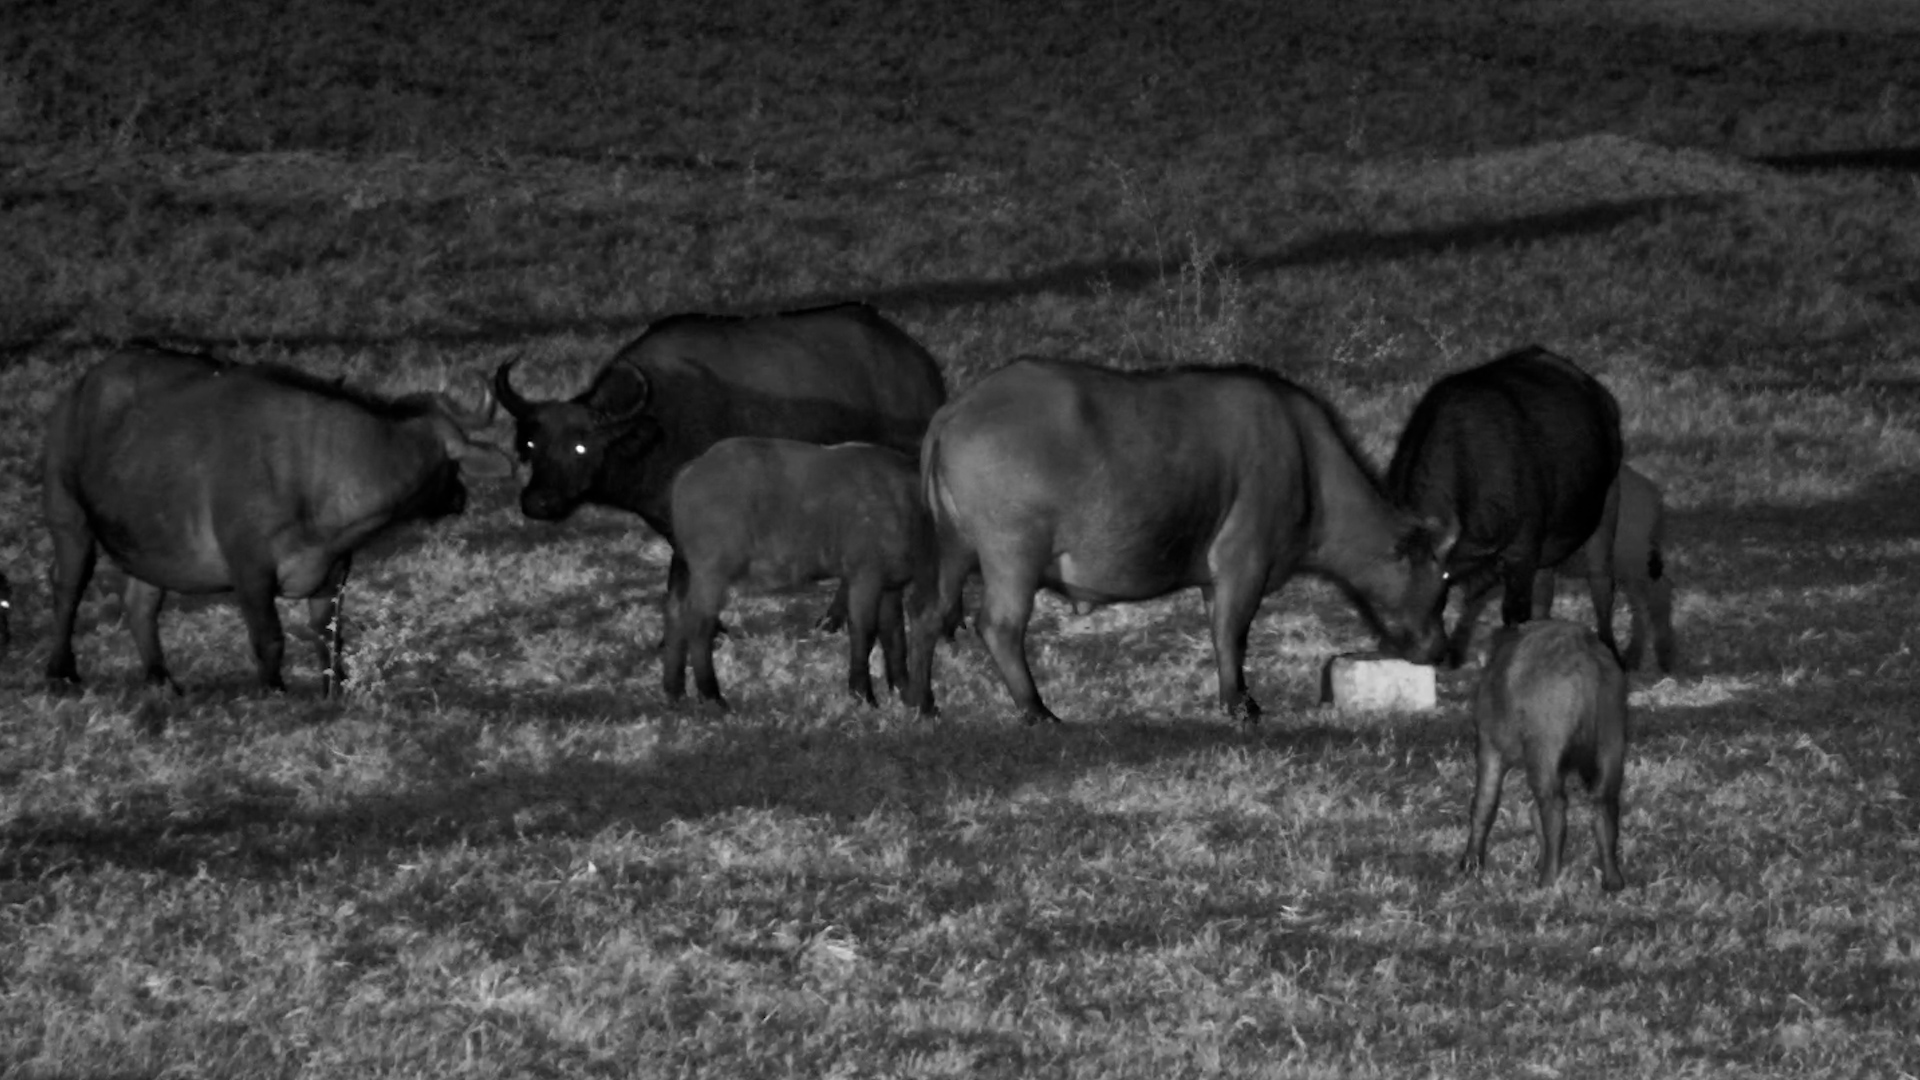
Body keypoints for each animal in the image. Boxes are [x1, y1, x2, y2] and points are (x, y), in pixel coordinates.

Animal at [43, 346, 512, 695]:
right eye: (452, 467)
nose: (459, 498)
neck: (316, 472)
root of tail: (80, 389)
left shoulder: (333, 569)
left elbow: (328, 634)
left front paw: (335, 688)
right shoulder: (250, 572)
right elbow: (270, 638)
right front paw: (274, 690)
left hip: (149, 542)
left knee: (140, 603)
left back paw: (161, 679)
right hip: (68, 516)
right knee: (67, 589)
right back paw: (60, 669)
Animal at [662, 437, 937, 711]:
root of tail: (691, 469)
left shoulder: (891, 586)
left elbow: (895, 638)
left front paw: (904, 691)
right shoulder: (865, 578)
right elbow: (864, 633)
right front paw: (863, 695)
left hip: (686, 570)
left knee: (676, 614)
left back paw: (675, 691)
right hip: (712, 574)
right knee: (699, 624)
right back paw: (712, 697)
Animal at [908, 358, 1456, 725]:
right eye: (1442, 579)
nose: (1441, 649)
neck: (1308, 467)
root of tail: (955, 411)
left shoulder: (1217, 580)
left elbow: (1221, 634)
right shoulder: (1242, 566)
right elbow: (1233, 634)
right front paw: (1242, 705)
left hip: (952, 550)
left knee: (929, 614)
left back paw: (924, 703)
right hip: (1012, 556)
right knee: (999, 626)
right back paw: (1037, 710)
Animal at [1386, 346, 1624, 665]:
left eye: (1440, 583)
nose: (1422, 649)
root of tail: (1599, 395)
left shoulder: (1520, 552)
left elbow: (1513, 614)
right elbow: (1474, 601)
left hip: (1607, 502)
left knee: (1600, 582)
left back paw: (1610, 649)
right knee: (1544, 589)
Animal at [1460, 619, 1628, 892]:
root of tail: (1584, 656)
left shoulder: (1489, 747)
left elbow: (1484, 804)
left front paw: (1471, 862)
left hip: (1544, 749)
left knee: (1554, 808)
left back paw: (1548, 879)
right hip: (1611, 742)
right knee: (1604, 805)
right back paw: (1612, 880)